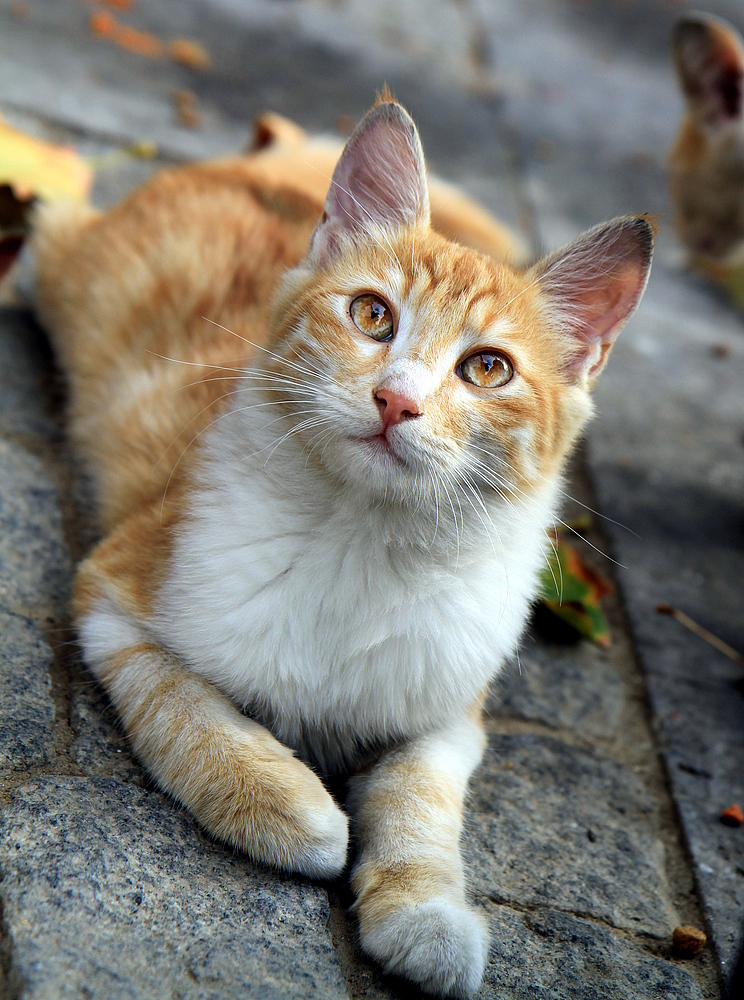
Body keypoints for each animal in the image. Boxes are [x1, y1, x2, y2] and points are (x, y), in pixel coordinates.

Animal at [21, 97, 652, 996]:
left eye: (487, 369)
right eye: (372, 315)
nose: (396, 401)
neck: (365, 538)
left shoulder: (449, 709)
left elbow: (422, 797)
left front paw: (425, 910)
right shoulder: (111, 591)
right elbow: (182, 707)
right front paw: (283, 803)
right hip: (64, 260)